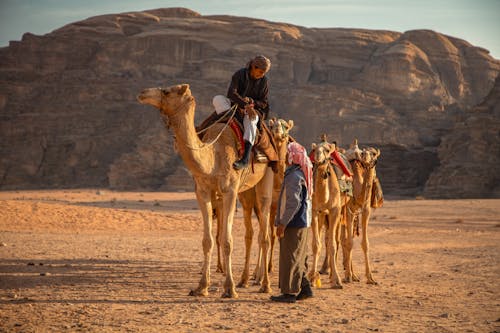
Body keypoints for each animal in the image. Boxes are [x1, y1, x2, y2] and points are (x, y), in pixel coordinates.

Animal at [136, 83, 274, 296]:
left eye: (167, 91)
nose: (142, 93)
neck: (213, 156)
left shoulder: (229, 191)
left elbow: (227, 240)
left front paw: (229, 288)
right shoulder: (203, 192)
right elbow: (207, 240)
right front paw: (202, 286)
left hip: (266, 178)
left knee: (265, 232)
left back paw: (265, 284)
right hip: (245, 192)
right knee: (251, 230)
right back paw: (246, 280)